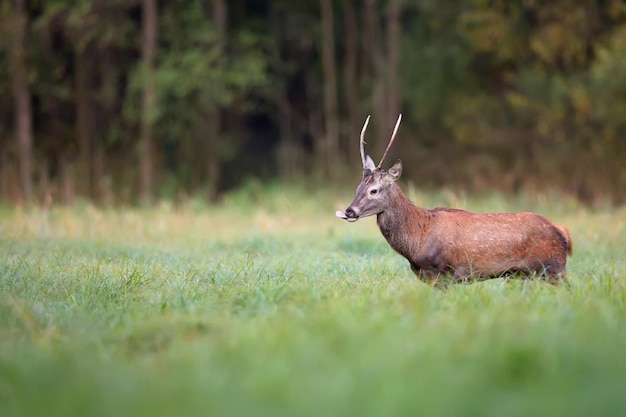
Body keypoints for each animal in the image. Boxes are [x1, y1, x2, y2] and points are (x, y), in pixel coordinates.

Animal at [334, 114, 572, 286]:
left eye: (374, 190)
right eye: (358, 187)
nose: (349, 211)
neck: (417, 241)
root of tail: (563, 233)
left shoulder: (444, 272)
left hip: (553, 268)